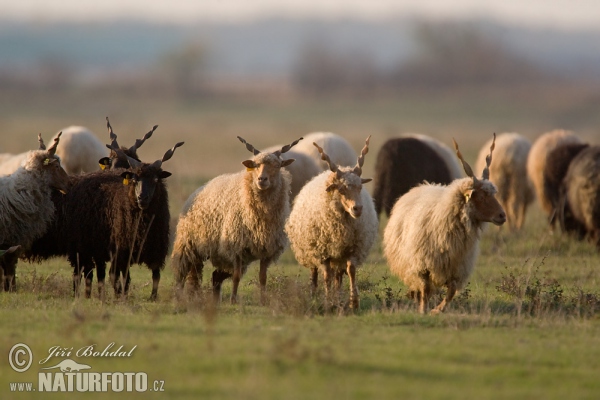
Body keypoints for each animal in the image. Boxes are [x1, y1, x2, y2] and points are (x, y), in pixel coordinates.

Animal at [65, 141, 183, 300]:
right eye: (134, 180)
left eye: (155, 180)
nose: (142, 198)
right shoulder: (120, 249)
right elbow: (118, 276)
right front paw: (120, 296)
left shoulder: (156, 249)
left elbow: (156, 276)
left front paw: (152, 297)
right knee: (88, 272)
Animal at [171, 137, 302, 304]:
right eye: (255, 165)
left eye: (278, 166)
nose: (262, 179)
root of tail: (199, 189)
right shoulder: (237, 247)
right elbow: (237, 277)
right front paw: (233, 300)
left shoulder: (266, 249)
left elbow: (262, 278)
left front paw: (263, 300)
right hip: (188, 243)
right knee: (181, 271)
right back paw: (179, 296)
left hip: (220, 254)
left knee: (215, 276)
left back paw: (215, 300)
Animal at [284, 136, 378, 308]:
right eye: (341, 189)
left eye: (360, 187)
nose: (357, 209)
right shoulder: (323, 252)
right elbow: (326, 275)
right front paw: (328, 302)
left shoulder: (352, 248)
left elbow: (351, 270)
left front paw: (353, 302)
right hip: (311, 250)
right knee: (316, 273)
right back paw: (314, 294)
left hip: (338, 254)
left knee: (338, 276)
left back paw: (338, 295)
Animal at [382, 136, 504, 314]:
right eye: (481, 197)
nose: (502, 215)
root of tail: (422, 185)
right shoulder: (422, 265)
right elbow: (425, 290)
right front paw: (423, 311)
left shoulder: (456, 270)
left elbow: (451, 292)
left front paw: (437, 310)